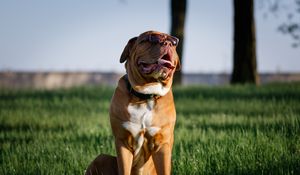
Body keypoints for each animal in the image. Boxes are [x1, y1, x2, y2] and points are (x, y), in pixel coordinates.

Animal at [85, 30, 182, 174]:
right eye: (150, 39)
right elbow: (124, 169)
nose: (169, 43)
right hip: (101, 158)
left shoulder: (162, 145)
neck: (145, 96)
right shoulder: (123, 142)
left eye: (174, 42)